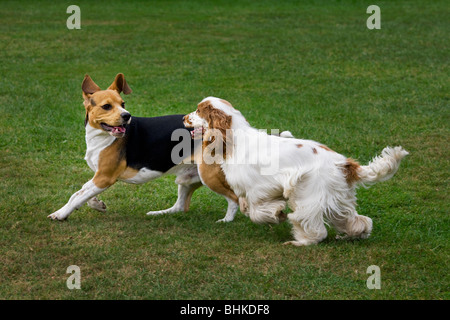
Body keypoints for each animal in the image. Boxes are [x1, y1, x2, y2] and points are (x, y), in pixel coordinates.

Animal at [48, 74, 239, 220]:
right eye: (106, 106)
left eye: (123, 104)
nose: (126, 116)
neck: (102, 137)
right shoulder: (99, 176)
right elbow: (82, 192)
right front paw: (96, 204)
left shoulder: (105, 177)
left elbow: (76, 196)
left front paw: (60, 214)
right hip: (187, 178)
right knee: (180, 207)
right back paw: (160, 213)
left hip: (208, 174)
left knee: (234, 199)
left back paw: (226, 221)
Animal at [185, 96, 410, 246]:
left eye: (198, 110)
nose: (184, 117)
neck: (235, 139)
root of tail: (344, 164)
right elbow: (245, 207)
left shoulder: (258, 189)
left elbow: (256, 212)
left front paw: (277, 214)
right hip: (338, 198)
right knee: (359, 222)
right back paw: (349, 235)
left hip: (307, 196)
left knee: (315, 229)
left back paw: (299, 242)